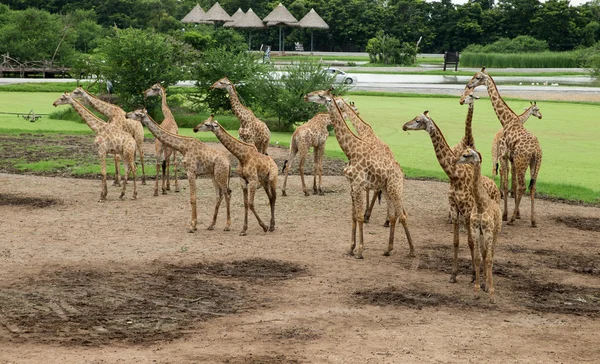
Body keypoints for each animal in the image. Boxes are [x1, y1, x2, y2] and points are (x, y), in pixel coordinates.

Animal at [308, 88, 414, 258]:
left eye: (320, 95)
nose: (306, 96)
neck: (351, 151)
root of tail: (401, 171)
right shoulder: (352, 185)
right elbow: (353, 215)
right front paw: (351, 248)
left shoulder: (359, 184)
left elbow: (358, 216)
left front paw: (360, 250)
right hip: (386, 188)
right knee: (393, 215)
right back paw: (387, 249)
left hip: (394, 188)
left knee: (402, 215)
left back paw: (412, 250)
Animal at [404, 111, 502, 284]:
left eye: (417, 120)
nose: (404, 126)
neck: (455, 175)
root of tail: (495, 188)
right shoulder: (454, 208)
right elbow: (455, 242)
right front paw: (453, 274)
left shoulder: (467, 210)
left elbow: (470, 242)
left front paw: (472, 274)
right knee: (484, 245)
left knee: (486, 245)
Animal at [454, 146, 502, 302]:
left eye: (466, 155)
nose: (455, 160)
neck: (480, 205)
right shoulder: (476, 230)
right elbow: (477, 257)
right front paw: (476, 290)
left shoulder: (488, 231)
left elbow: (489, 259)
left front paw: (491, 293)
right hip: (482, 235)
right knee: (485, 253)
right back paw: (484, 284)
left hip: (495, 232)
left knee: (491, 254)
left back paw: (488, 286)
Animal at [460, 68, 544, 226]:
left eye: (478, 77)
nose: (468, 85)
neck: (507, 120)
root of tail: (536, 150)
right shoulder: (511, 159)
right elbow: (512, 183)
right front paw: (515, 213)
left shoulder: (505, 156)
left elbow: (506, 183)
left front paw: (505, 214)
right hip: (535, 163)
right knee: (533, 186)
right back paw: (533, 220)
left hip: (522, 161)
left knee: (523, 185)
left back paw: (511, 219)